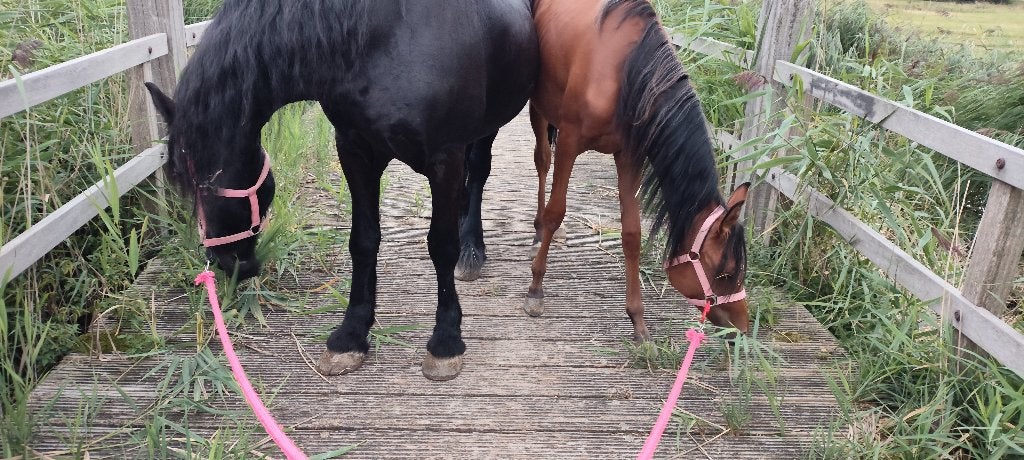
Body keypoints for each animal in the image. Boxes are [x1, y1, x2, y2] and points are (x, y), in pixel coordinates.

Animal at [144, 0, 538, 381]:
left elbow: (441, 246)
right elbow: (363, 240)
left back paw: (472, 248)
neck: (390, 36)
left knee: (478, 173)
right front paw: (351, 335)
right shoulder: (355, 150)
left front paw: (445, 341)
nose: (226, 261)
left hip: (487, 128)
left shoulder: (445, 156)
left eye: (213, 179)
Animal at [525, 0, 751, 340]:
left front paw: (637, 319)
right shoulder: (569, 143)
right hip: (538, 108)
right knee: (542, 162)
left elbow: (632, 233)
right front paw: (536, 289)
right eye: (724, 273)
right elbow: (556, 212)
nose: (744, 326)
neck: (627, 73)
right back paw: (538, 230)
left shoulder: (628, 156)